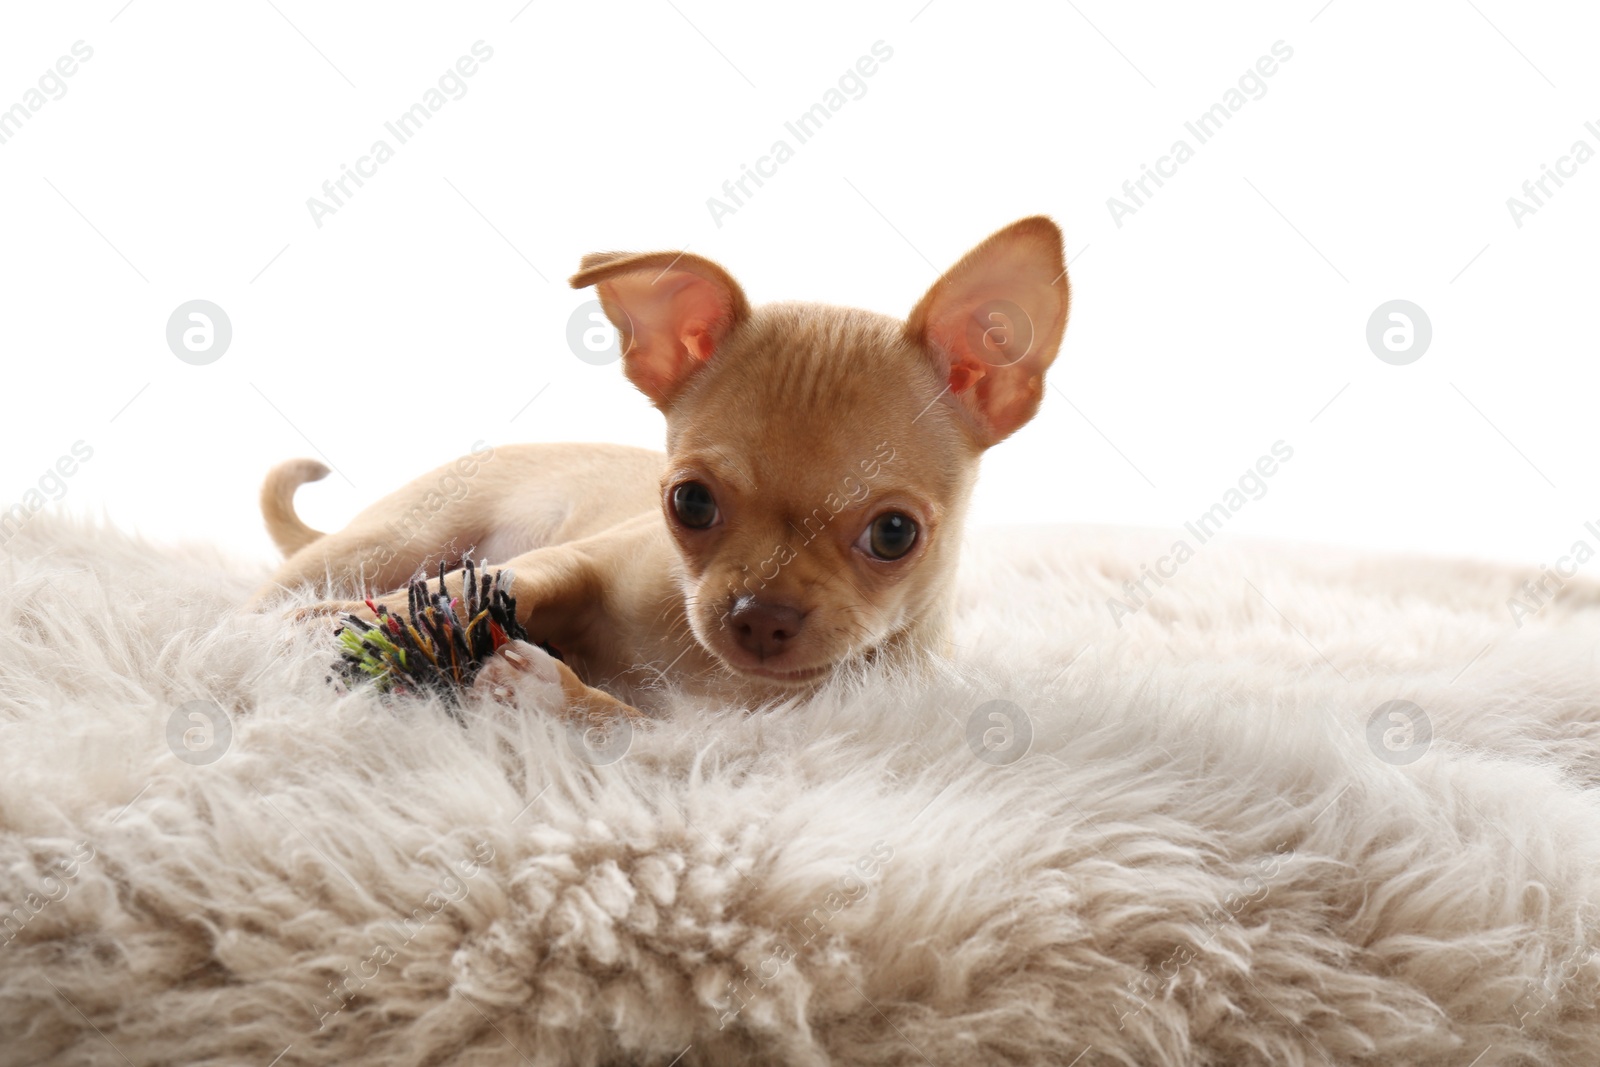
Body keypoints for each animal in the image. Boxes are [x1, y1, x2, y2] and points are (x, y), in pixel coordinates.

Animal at [256, 215, 1068, 716]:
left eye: (895, 534)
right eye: (691, 504)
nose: (760, 616)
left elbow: (627, 723)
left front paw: (548, 693)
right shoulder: (575, 561)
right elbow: (491, 585)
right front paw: (373, 626)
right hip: (391, 540)